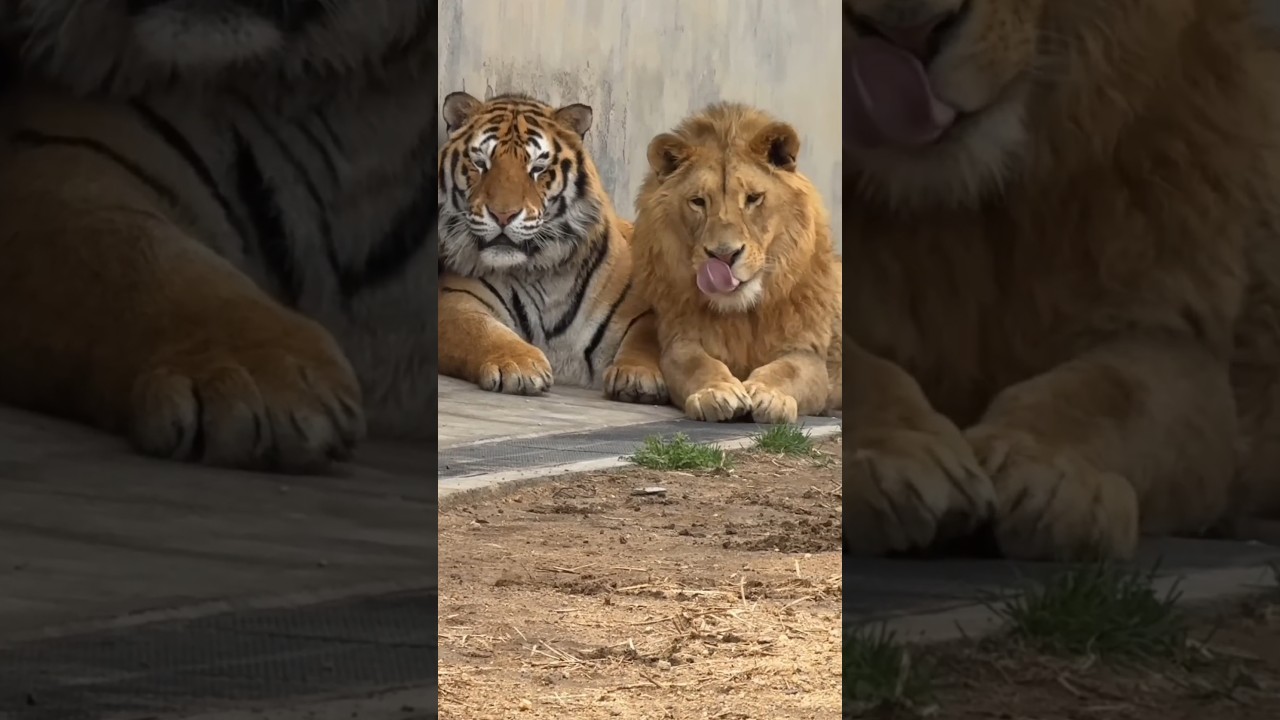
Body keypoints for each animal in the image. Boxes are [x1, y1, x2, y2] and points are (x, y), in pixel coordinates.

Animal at [437, 91, 667, 405]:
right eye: (481, 163)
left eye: (537, 169)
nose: (503, 215)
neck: (542, 272)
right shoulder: (454, 299)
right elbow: (481, 330)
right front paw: (519, 364)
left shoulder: (640, 306)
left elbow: (646, 335)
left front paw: (637, 375)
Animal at [626, 103, 842, 426]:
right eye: (698, 201)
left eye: (753, 198)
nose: (724, 256)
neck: (742, 312)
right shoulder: (680, 339)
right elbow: (698, 364)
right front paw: (716, 392)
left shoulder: (807, 353)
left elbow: (786, 370)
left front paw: (769, 395)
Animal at [844, 0, 1280, 561]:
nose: (910, 36)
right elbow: (858, 370)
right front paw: (894, 460)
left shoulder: (1174, 339)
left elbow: (1108, 391)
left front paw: (1042, 472)